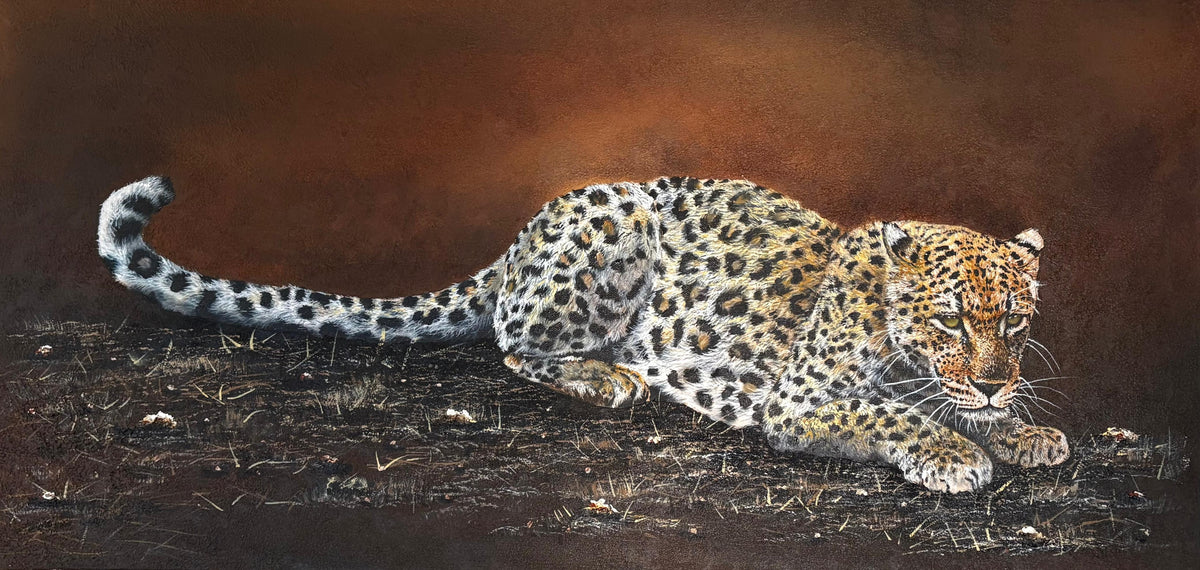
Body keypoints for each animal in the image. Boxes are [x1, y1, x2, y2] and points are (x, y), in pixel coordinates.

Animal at [98, 175, 1069, 493]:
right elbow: (896, 413)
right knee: (512, 342)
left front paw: (1024, 430)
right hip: (615, 232)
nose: (994, 378)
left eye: (1016, 324)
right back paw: (609, 377)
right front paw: (956, 451)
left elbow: (957, 406)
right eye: (950, 320)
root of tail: (525, 235)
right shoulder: (801, 400)